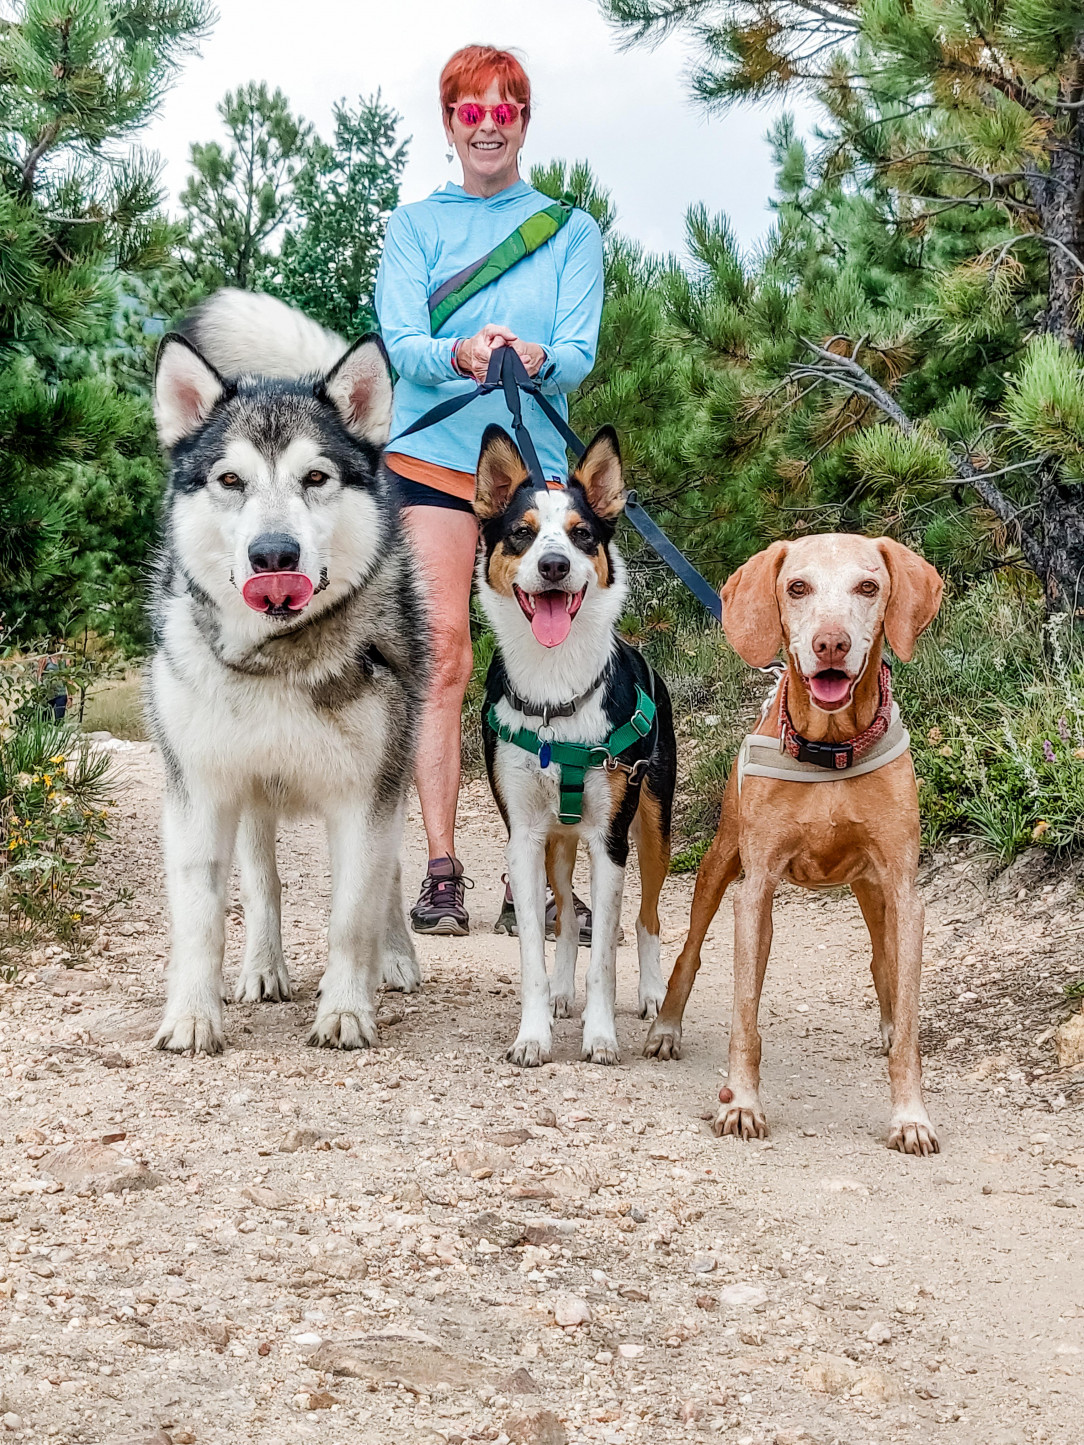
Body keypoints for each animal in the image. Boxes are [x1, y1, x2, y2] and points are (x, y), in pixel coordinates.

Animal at [149, 287, 427, 1057]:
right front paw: (192, 1014)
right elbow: (203, 917)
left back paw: (395, 958)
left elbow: (352, 914)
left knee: (390, 877)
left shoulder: (365, 798)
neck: (277, 658)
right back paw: (263, 967)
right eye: (231, 480)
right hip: (252, 800)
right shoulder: (201, 793)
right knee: (263, 883)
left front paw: (346, 1009)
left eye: (315, 478)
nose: (275, 554)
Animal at [476, 421, 676, 1069]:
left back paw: (654, 993)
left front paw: (602, 1035)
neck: (555, 694)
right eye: (521, 533)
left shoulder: (608, 839)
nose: (555, 565)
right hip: (556, 845)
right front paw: (534, 1033)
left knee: (648, 916)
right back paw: (564, 992)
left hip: (653, 825)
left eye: (583, 533)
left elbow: (605, 960)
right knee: (564, 915)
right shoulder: (523, 836)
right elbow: (535, 954)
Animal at [650, 537, 948, 1156]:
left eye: (868, 586)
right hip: (719, 861)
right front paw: (740, 1105)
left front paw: (910, 1116)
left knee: (882, 961)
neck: (829, 751)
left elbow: (909, 1020)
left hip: (870, 887)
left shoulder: (905, 891)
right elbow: (744, 1016)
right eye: (797, 587)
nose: (830, 643)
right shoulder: (756, 888)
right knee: (689, 951)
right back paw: (665, 1027)